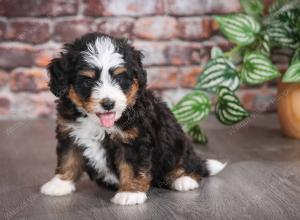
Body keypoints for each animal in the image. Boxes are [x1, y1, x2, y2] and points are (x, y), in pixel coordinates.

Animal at [41, 32, 225, 206]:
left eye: (119, 78)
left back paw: (184, 179)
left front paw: (130, 193)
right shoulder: (69, 132)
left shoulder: (134, 141)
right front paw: (59, 184)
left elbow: (132, 167)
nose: (108, 104)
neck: (99, 124)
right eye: (87, 81)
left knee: (192, 164)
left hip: (178, 143)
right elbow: (68, 158)